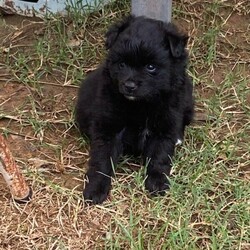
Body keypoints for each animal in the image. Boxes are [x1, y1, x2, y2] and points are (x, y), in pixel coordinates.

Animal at [75, 15, 194, 203]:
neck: (140, 104)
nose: (129, 86)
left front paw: (158, 182)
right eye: (122, 64)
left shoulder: (165, 125)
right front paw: (95, 188)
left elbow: (160, 156)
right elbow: (102, 160)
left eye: (151, 67)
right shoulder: (108, 128)